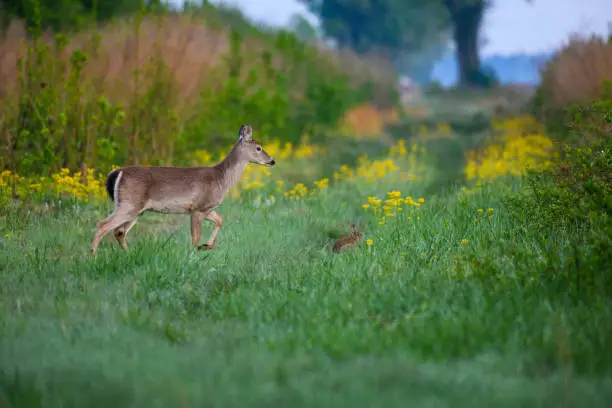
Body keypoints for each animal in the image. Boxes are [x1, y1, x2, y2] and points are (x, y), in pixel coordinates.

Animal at [91, 124, 274, 255]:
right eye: (259, 147)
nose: (272, 161)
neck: (221, 178)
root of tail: (116, 173)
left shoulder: (206, 208)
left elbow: (220, 220)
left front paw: (206, 246)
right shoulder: (197, 208)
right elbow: (196, 236)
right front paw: (193, 254)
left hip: (135, 208)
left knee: (119, 231)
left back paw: (128, 254)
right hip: (129, 204)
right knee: (103, 225)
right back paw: (92, 257)